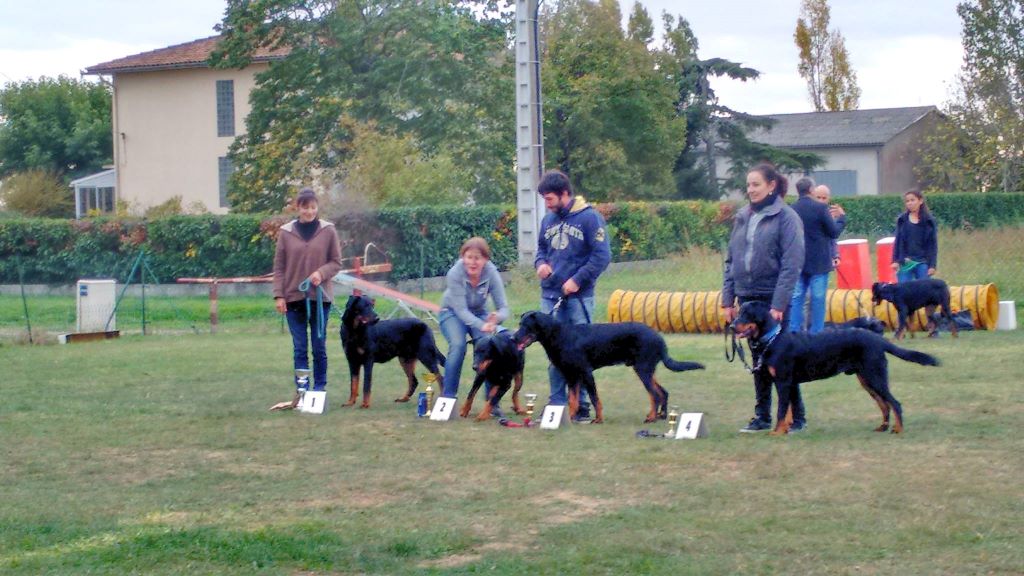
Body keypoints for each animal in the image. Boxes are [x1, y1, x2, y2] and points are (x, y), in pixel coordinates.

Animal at [512, 309, 704, 422]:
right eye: (519, 324)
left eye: (526, 326)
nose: (513, 338)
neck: (561, 335)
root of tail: (659, 338)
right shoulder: (572, 376)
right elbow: (573, 399)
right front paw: (572, 418)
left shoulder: (586, 373)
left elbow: (595, 398)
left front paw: (598, 419)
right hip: (648, 370)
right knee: (663, 392)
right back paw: (662, 416)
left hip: (642, 369)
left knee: (654, 395)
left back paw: (651, 418)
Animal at [733, 297, 937, 432]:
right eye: (738, 313)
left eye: (746, 314)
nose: (732, 326)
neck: (772, 340)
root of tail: (877, 339)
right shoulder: (789, 384)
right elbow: (789, 409)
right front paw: (787, 430)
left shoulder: (783, 382)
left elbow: (782, 410)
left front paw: (777, 433)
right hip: (866, 379)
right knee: (884, 404)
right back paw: (882, 427)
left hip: (875, 376)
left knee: (894, 403)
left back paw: (898, 429)